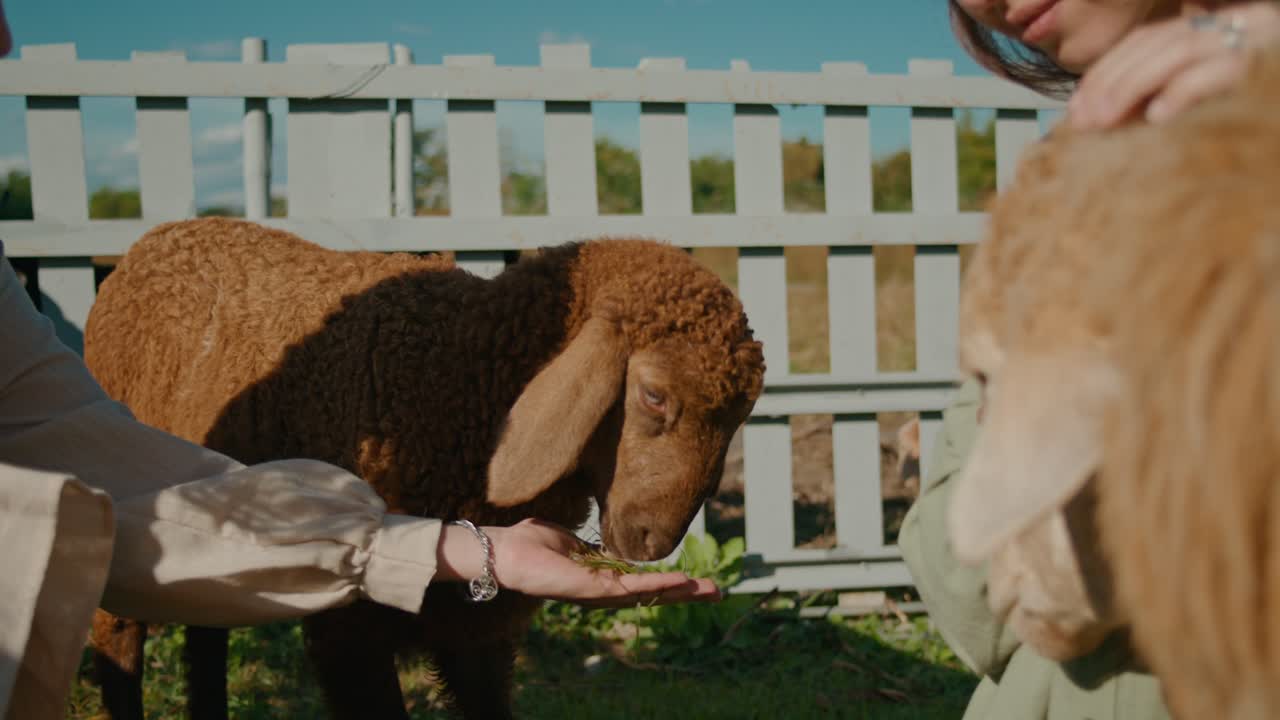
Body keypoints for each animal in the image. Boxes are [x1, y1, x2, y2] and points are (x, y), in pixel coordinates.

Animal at [80, 217, 766, 720]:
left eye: (741, 417)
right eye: (653, 395)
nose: (657, 539)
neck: (466, 373)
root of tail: (151, 242)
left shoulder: (479, 630)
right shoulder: (350, 634)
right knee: (119, 636)